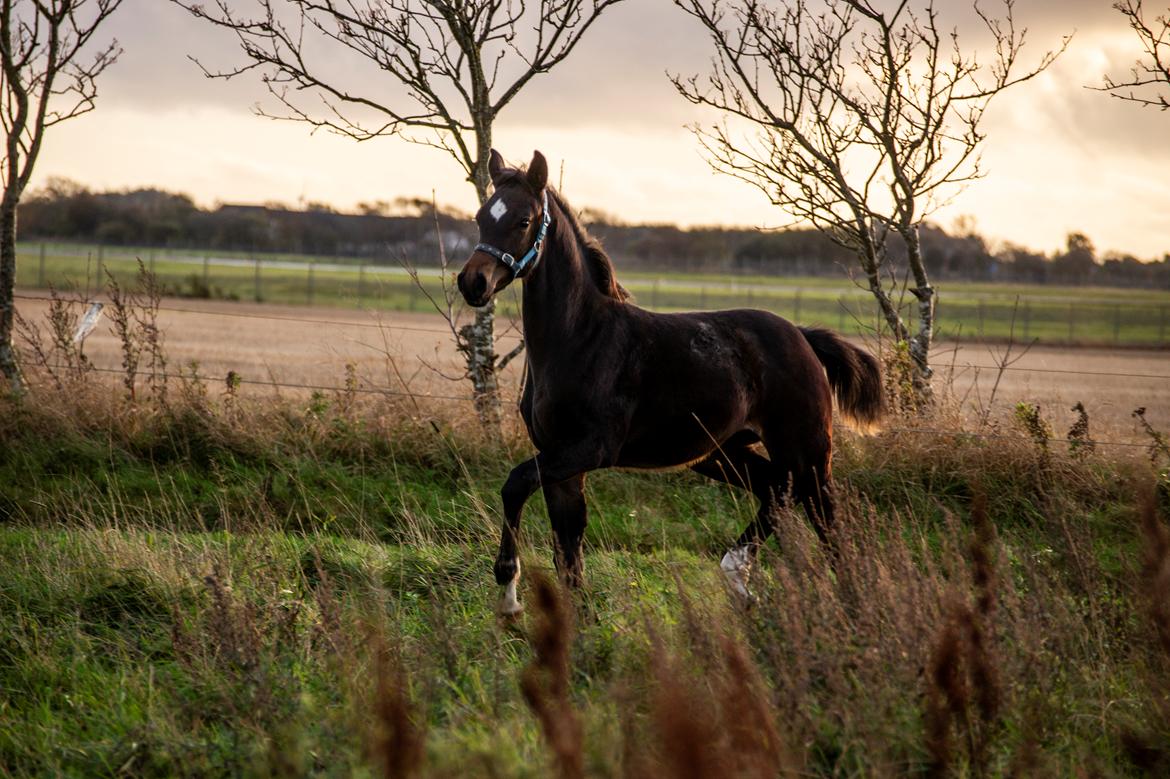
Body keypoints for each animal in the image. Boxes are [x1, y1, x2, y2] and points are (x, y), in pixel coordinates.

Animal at [456, 149, 879, 612]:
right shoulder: (560, 462)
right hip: (722, 452)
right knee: (776, 491)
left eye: (524, 221)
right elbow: (568, 556)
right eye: (481, 217)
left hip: (807, 451)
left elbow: (515, 485)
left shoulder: (590, 448)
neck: (581, 337)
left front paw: (509, 594)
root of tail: (803, 335)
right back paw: (737, 578)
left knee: (826, 524)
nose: (473, 283)